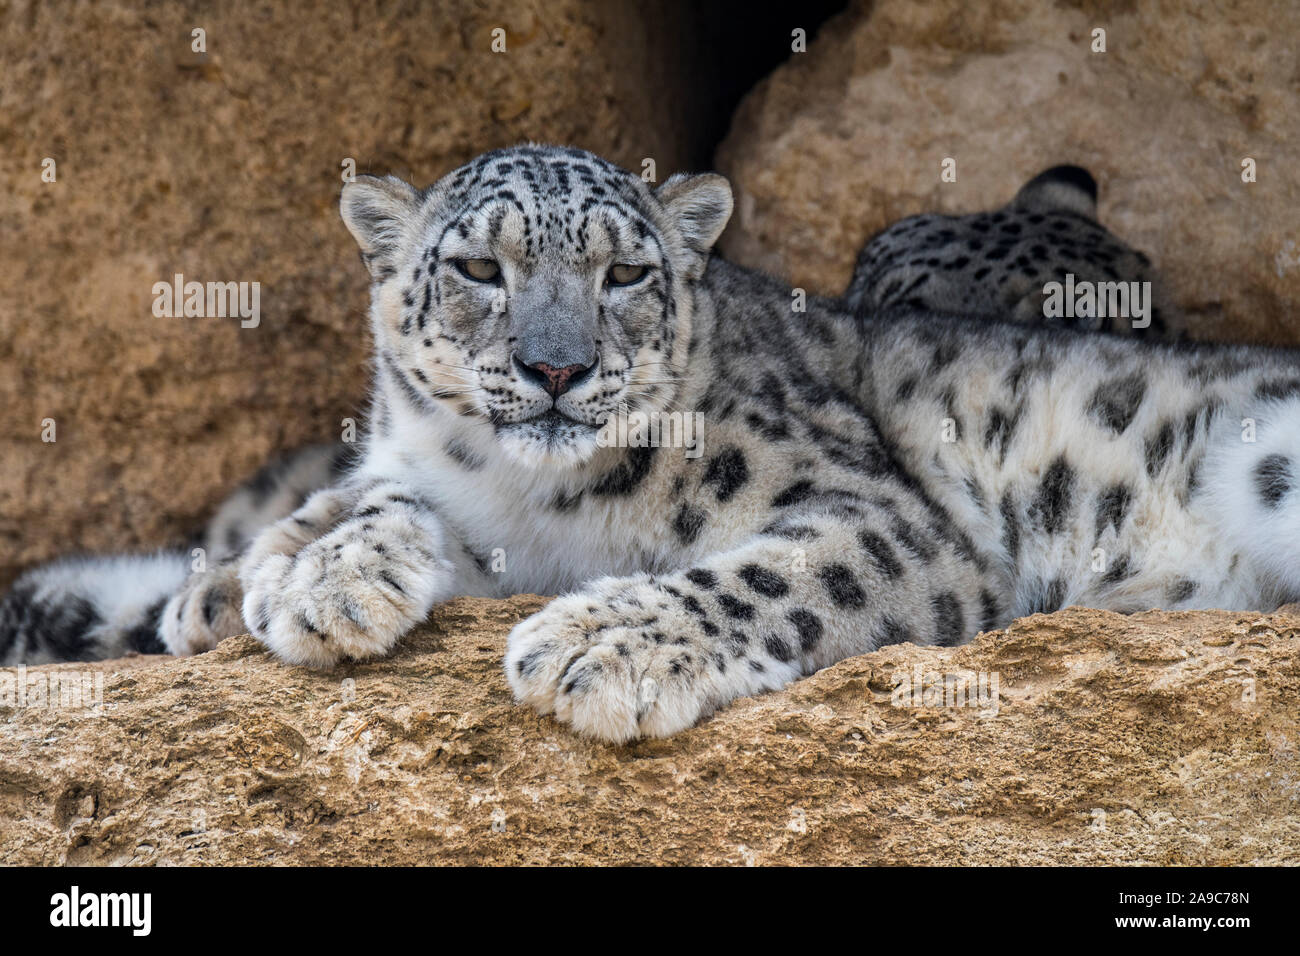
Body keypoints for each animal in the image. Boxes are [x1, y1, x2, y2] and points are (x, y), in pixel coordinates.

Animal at [2, 147, 1300, 749]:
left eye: (625, 272)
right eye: (479, 267)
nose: (556, 367)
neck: (532, 504)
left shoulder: (883, 514)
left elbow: (775, 571)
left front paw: (598, 645)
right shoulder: (453, 499)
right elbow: (371, 498)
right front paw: (315, 575)